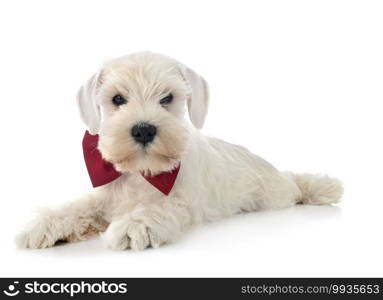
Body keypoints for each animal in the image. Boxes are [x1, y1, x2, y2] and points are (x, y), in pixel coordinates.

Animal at [16, 52, 344, 251]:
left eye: (167, 98)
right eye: (117, 98)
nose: (143, 129)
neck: (142, 173)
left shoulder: (182, 201)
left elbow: (157, 208)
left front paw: (135, 224)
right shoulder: (104, 197)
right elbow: (77, 206)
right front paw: (45, 224)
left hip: (275, 192)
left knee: (295, 184)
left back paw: (319, 187)